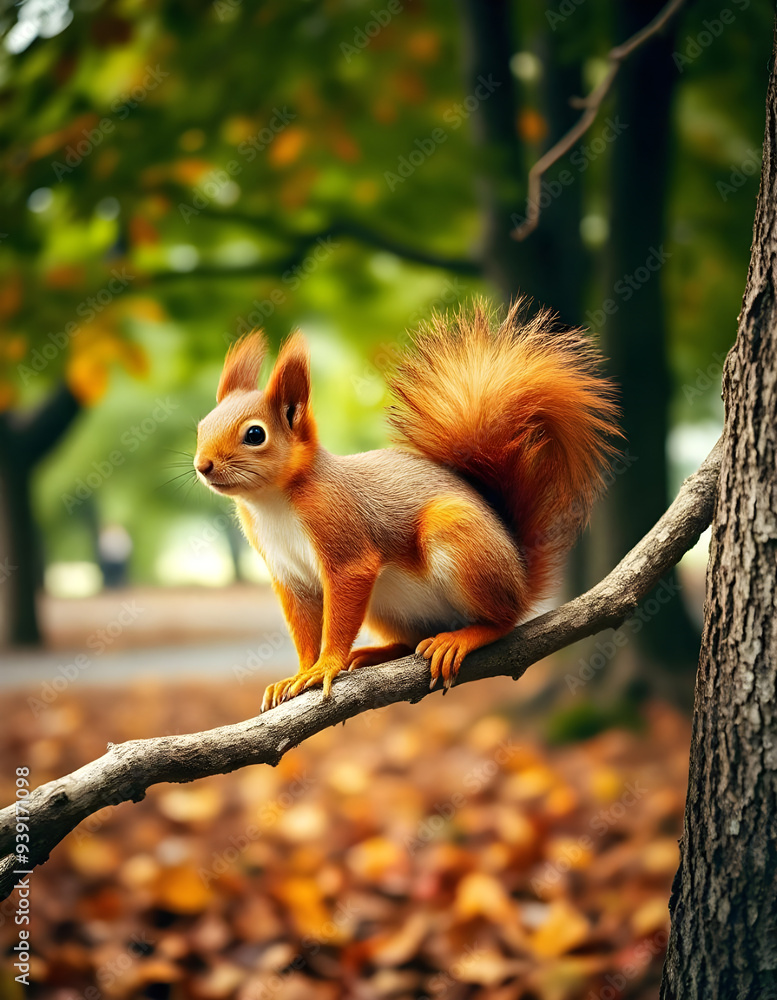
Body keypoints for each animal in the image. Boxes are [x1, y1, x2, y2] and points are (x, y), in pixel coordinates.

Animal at [194, 298, 620, 712]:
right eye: (201, 427)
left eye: (255, 434)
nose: (202, 465)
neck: (271, 502)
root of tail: (520, 573)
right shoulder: (289, 576)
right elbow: (302, 628)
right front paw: (297, 674)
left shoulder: (344, 540)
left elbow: (340, 608)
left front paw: (325, 666)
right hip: (387, 608)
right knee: (413, 638)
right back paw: (377, 654)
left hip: (459, 537)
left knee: (505, 620)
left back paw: (464, 637)